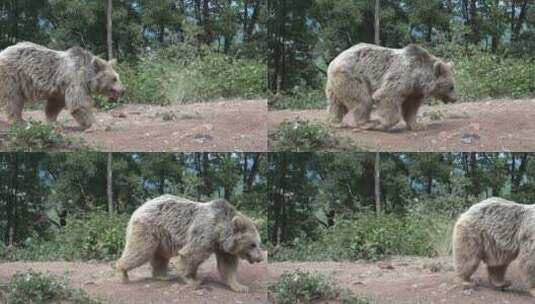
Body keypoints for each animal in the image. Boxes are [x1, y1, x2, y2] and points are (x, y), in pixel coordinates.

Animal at [115, 195, 264, 292]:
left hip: (162, 238)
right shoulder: (205, 234)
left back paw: (162, 276)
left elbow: (228, 266)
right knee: (140, 251)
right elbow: (191, 255)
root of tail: (139, 208)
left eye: (259, 243)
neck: (220, 232)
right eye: (252, 244)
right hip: (148, 229)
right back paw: (123, 272)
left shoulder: (222, 248)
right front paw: (192, 280)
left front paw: (241, 287)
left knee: (160, 256)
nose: (260, 258)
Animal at [326, 43, 456, 131]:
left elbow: (411, 108)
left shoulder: (414, 91)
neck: (419, 78)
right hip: (352, 76)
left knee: (336, 103)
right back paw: (367, 123)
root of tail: (334, 61)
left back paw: (335, 122)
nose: (455, 98)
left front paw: (418, 125)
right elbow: (387, 96)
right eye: (451, 87)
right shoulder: (401, 78)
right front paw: (382, 124)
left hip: (336, 83)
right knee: (363, 100)